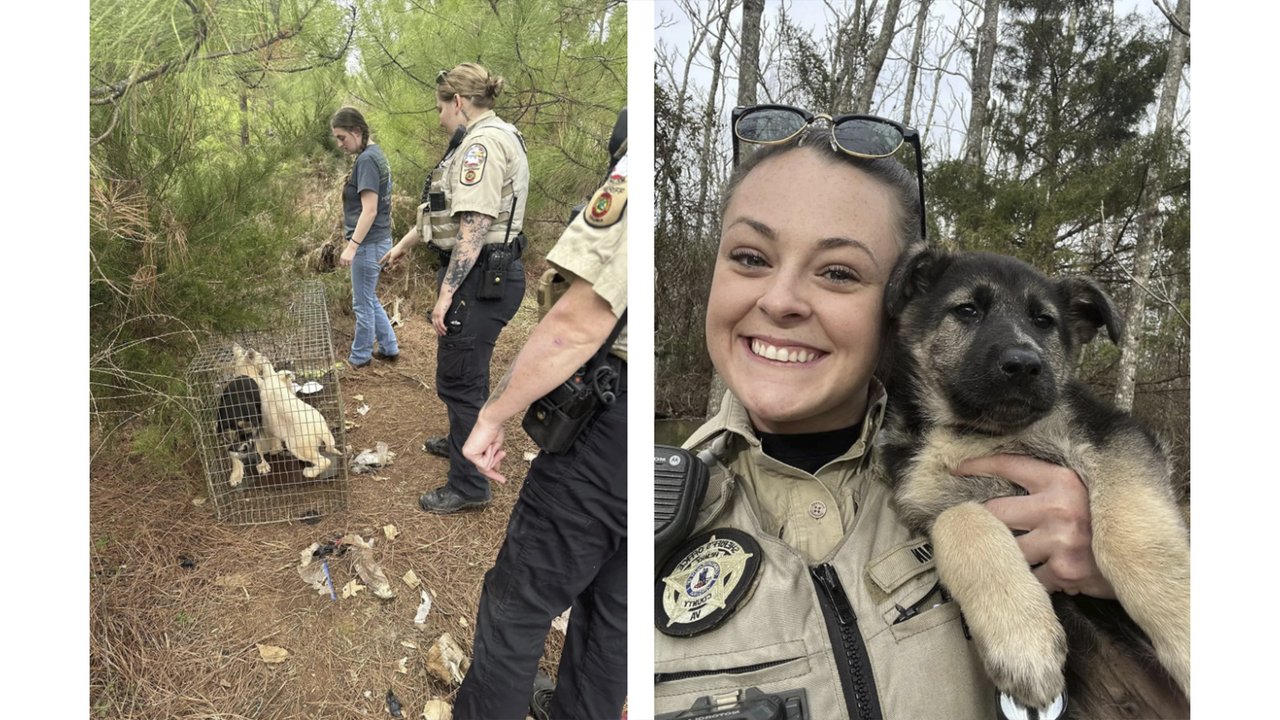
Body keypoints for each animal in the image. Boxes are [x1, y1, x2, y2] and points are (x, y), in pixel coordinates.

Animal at [880, 249, 1187, 707]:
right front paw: (1023, 641)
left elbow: (1130, 538)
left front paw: (1183, 624)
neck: (979, 430)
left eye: (1044, 321)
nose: (1024, 365)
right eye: (967, 310)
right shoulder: (924, 498)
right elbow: (961, 519)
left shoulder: (1115, 434)